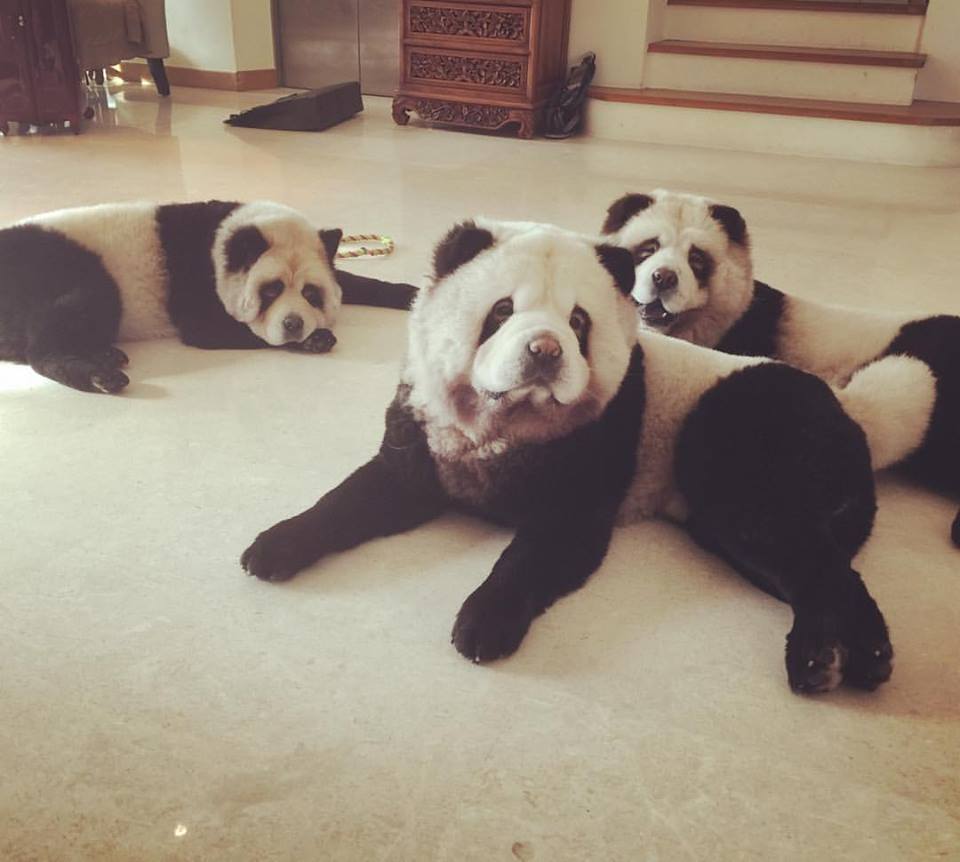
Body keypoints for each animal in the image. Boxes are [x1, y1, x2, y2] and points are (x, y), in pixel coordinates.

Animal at [0, 200, 417, 393]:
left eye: (311, 293)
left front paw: (408, 292)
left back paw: (104, 354)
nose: (293, 324)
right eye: (270, 290)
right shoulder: (196, 284)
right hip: (60, 271)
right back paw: (100, 375)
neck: (229, 237)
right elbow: (216, 330)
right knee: (55, 333)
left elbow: (350, 278)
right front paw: (314, 339)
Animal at [241, 218, 895, 695]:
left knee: (789, 539)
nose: (545, 352)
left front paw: (483, 623)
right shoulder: (425, 431)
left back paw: (837, 657)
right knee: (793, 560)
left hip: (746, 431)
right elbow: (358, 495)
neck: (505, 424)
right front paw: (272, 546)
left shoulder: (595, 444)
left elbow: (543, 547)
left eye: (579, 322)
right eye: (501, 311)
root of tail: (848, 422)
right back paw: (839, 656)